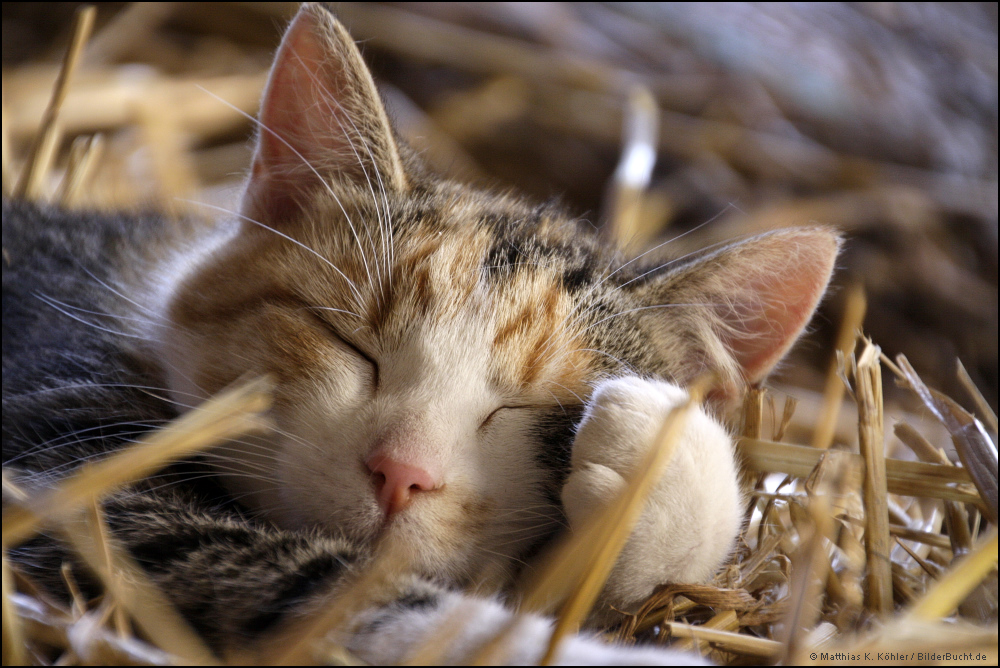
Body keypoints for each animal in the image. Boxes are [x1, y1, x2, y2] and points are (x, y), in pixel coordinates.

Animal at [3, 3, 840, 664]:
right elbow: (358, 603)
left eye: (532, 411)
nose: (399, 472)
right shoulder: (70, 468)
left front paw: (662, 457)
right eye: (348, 343)